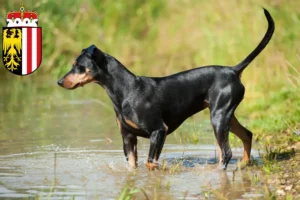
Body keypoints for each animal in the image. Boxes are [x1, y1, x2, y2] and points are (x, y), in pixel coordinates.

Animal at [56, 8, 274, 170]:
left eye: (78, 65)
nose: (59, 82)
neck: (126, 91)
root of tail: (233, 70)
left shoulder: (159, 131)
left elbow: (150, 163)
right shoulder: (128, 138)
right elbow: (134, 167)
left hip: (219, 117)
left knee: (226, 153)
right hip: (224, 116)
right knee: (246, 135)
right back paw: (244, 164)